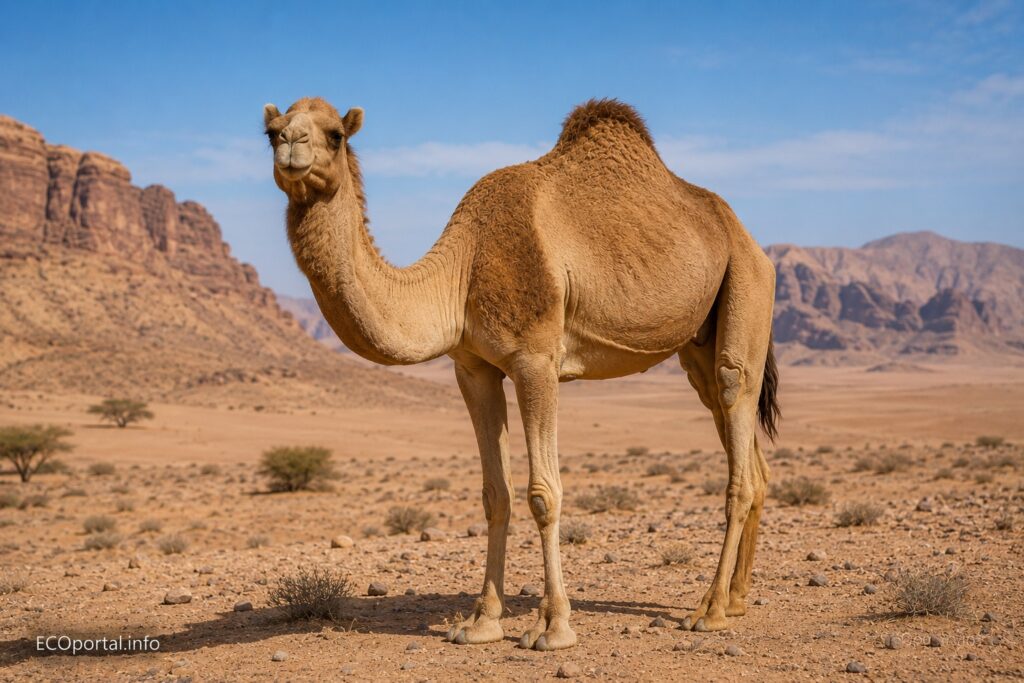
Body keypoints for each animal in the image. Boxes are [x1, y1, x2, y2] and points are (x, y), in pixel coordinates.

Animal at [263, 97, 780, 651]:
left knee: (735, 407)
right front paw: (481, 621)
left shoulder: (536, 361)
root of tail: (749, 238)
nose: (291, 144)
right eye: (270, 131)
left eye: (335, 134)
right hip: (697, 343)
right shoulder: (473, 369)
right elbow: (496, 495)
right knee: (744, 448)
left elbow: (543, 494)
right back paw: (737, 598)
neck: (462, 271)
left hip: (747, 286)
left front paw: (553, 626)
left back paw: (709, 610)